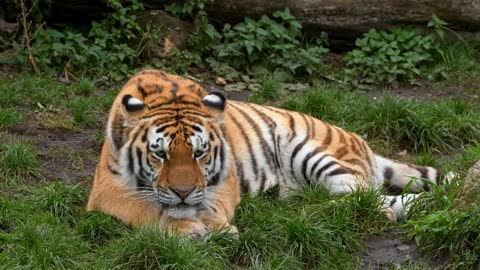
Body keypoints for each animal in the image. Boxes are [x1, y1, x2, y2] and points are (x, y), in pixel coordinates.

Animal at [86, 69, 446, 236]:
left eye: (200, 154)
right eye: (159, 155)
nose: (183, 192)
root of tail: (362, 141)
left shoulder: (224, 183)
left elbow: (211, 207)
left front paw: (215, 227)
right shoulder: (106, 191)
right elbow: (145, 209)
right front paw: (187, 228)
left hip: (311, 152)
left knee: (364, 202)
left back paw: (301, 213)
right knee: (384, 201)